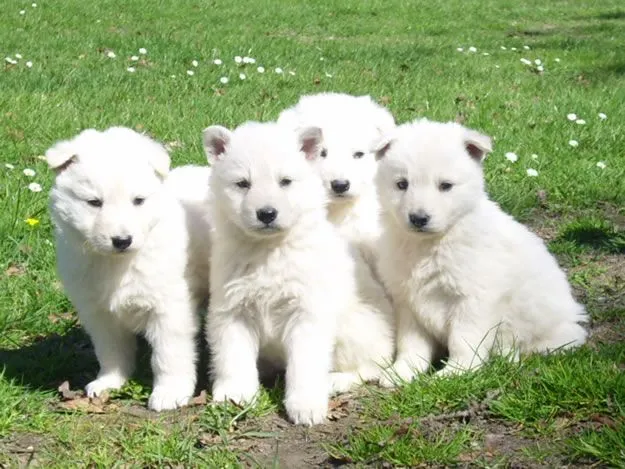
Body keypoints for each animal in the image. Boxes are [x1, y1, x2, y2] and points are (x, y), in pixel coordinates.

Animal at [48, 126, 210, 408]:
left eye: (138, 201)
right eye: (94, 202)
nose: (122, 240)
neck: (118, 263)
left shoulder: (170, 308)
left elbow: (169, 354)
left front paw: (169, 393)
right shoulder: (99, 313)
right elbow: (111, 350)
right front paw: (109, 382)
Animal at [202, 120, 392, 424]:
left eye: (285, 181)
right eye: (243, 184)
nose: (266, 213)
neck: (269, 250)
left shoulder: (307, 310)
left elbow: (305, 363)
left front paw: (305, 406)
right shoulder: (231, 307)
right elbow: (233, 353)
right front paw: (235, 394)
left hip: (357, 325)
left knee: (372, 363)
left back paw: (336, 380)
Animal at [372, 118, 588, 384]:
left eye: (445, 186)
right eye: (402, 184)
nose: (419, 218)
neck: (432, 243)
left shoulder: (473, 297)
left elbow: (463, 339)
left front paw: (456, 372)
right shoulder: (408, 300)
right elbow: (411, 344)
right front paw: (401, 372)